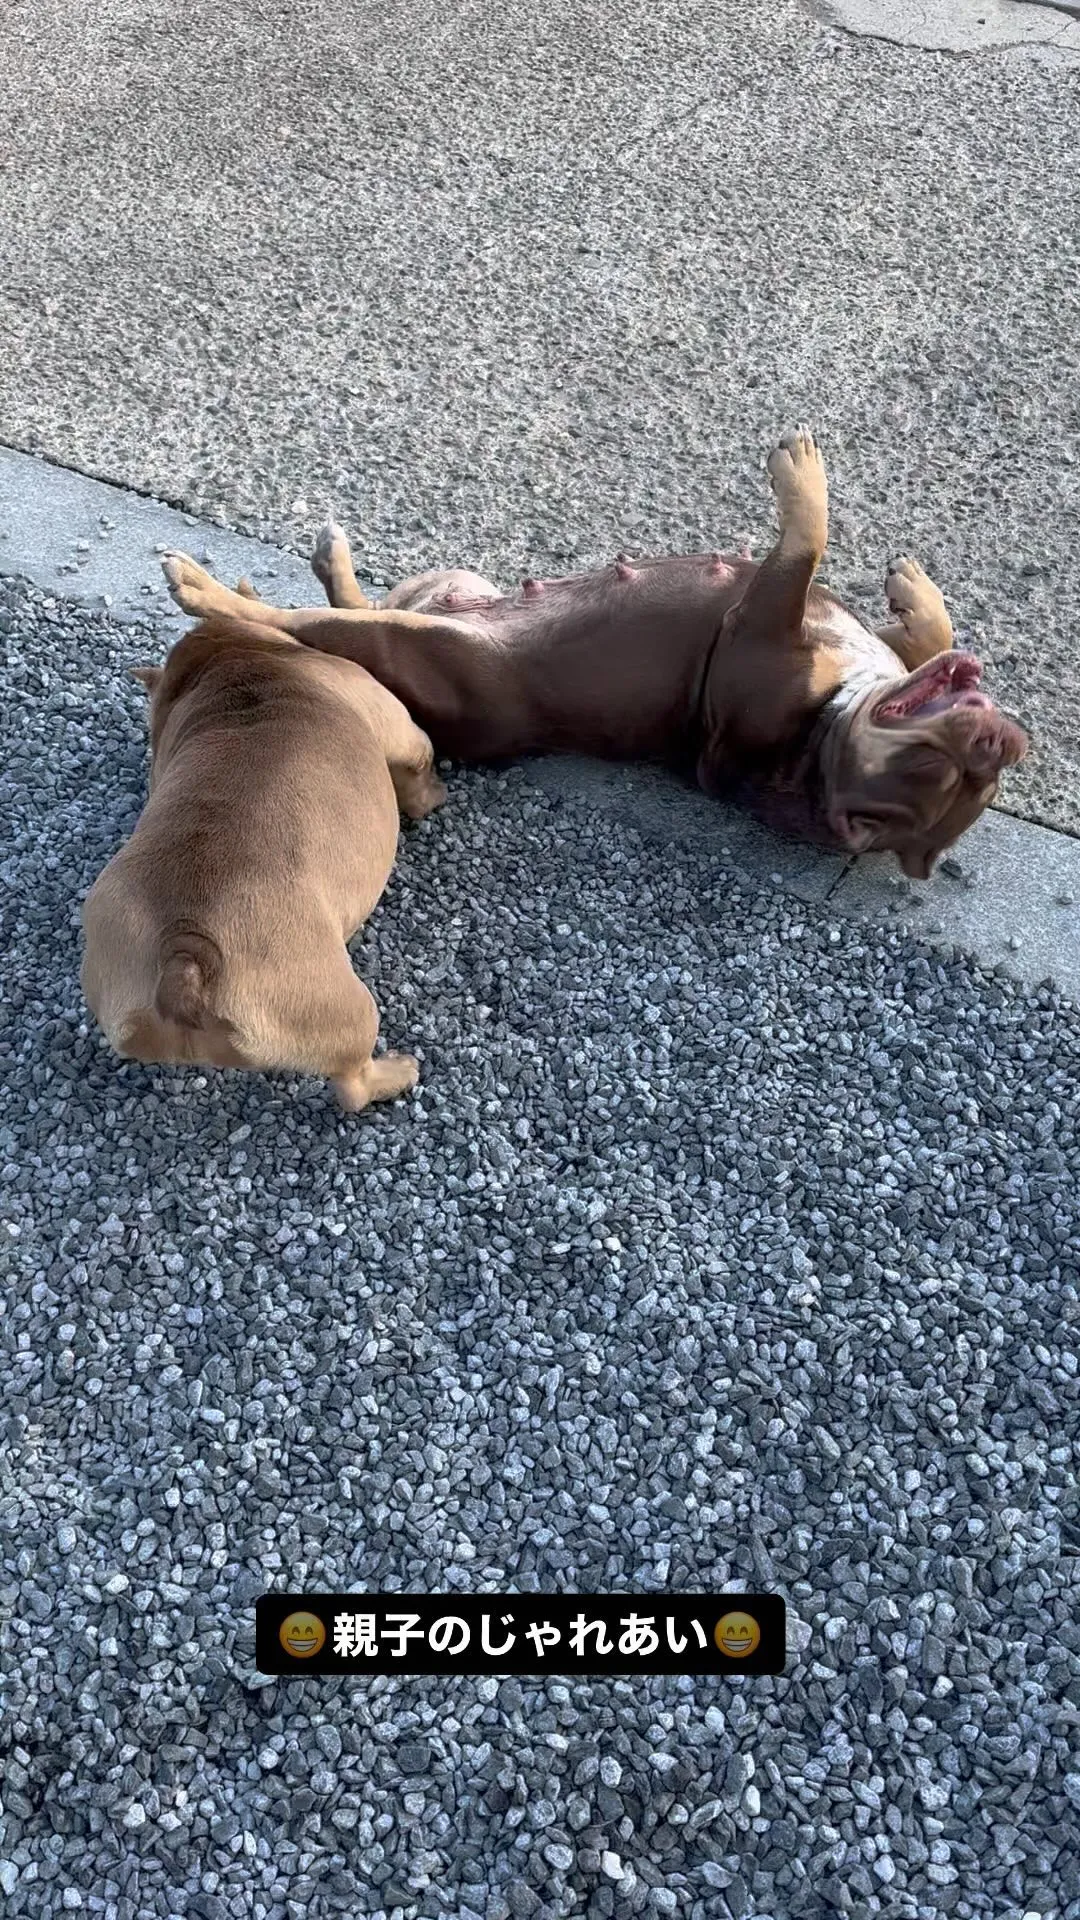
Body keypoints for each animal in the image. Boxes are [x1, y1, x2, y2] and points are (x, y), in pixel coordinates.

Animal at [79, 606, 441, 1121]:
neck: (229, 658)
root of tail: (183, 953)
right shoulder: (400, 729)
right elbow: (417, 765)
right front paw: (432, 795)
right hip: (340, 1007)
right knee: (351, 1083)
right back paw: (396, 1073)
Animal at [161, 430, 1022, 879]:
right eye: (972, 775)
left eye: (941, 774)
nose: (998, 738)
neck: (824, 733)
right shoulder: (826, 634)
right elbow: (922, 634)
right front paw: (920, 596)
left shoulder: (757, 624)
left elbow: (803, 541)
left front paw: (803, 478)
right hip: (453, 585)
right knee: (355, 601)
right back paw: (328, 560)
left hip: (423, 641)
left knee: (295, 622)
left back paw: (204, 587)